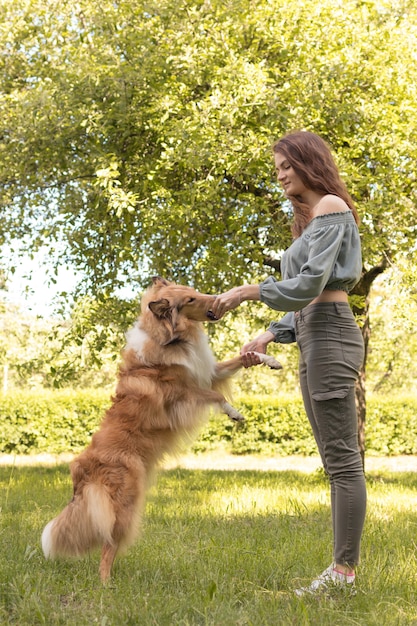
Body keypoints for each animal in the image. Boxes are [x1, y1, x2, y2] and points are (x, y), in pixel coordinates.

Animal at [40, 278, 282, 580]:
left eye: (193, 292)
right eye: (190, 300)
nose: (218, 300)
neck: (170, 338)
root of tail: (80, 471)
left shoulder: (209, 373)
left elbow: (243, 358)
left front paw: (270, 360)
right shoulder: (182, 395)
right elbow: (216, 396)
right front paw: (234, 413)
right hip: (125, 502)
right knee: (108, 546)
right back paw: (106, 584)